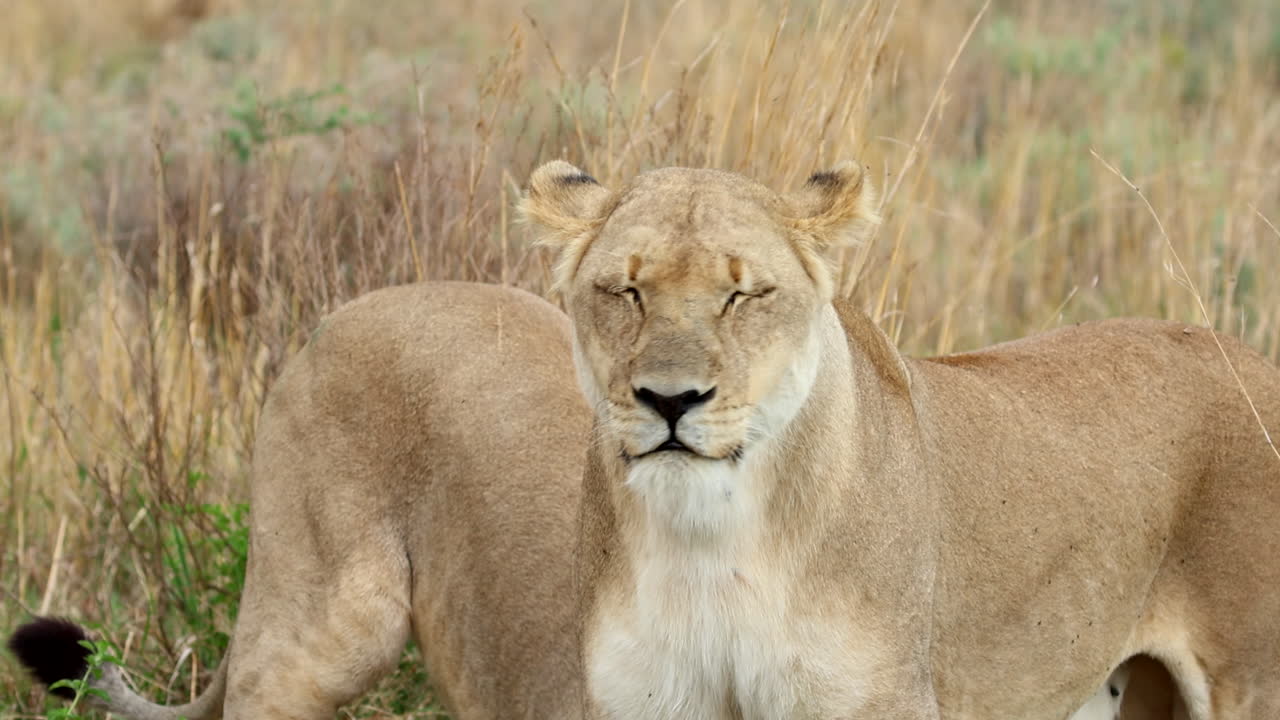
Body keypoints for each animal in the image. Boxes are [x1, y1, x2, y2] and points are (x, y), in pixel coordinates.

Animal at [520, 160, 1280, 719]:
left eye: (745, 295)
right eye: (625, 291)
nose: (671, 400)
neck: (708, 543)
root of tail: (1253, 360)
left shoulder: (878, 699)